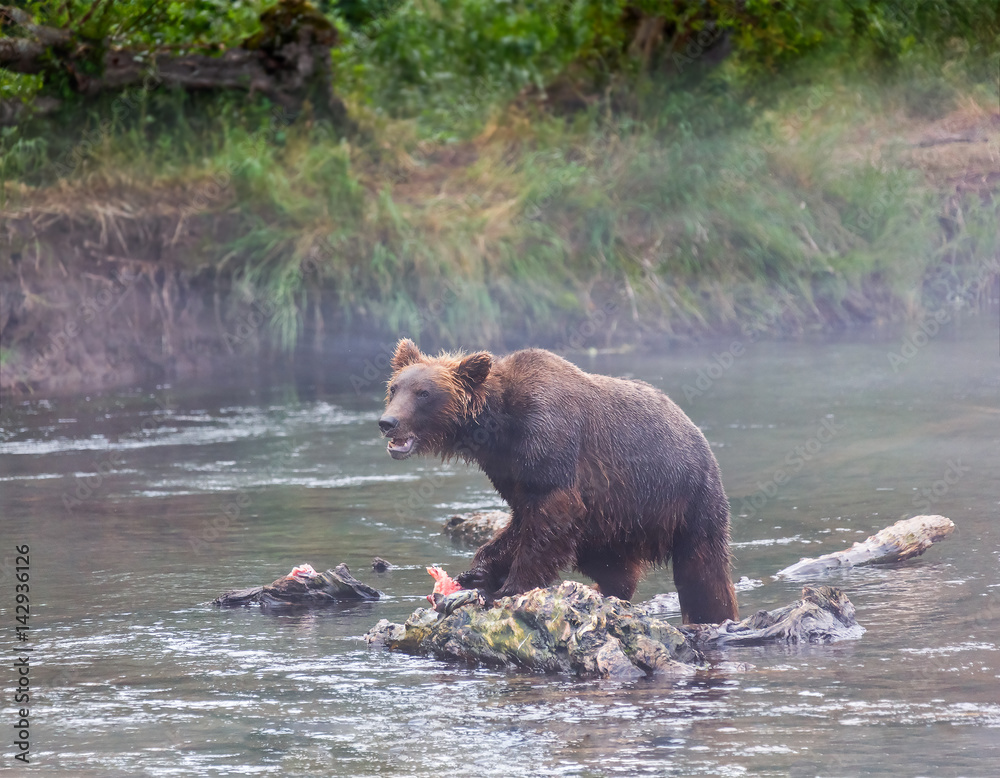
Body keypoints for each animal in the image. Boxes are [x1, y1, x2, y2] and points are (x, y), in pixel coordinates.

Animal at [378, 338, 739, 624]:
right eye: (394, 388)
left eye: (423, 393)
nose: (387, 422)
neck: (497, 426)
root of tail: (695, 431)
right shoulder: (508, 467)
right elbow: (522, 517)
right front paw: (478, 572)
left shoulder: (549, 439)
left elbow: (550, 513)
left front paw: (509, 588)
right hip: (612, 521)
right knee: (612, 566)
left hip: (683, 498)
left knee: (702, 571)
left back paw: (714, 614)